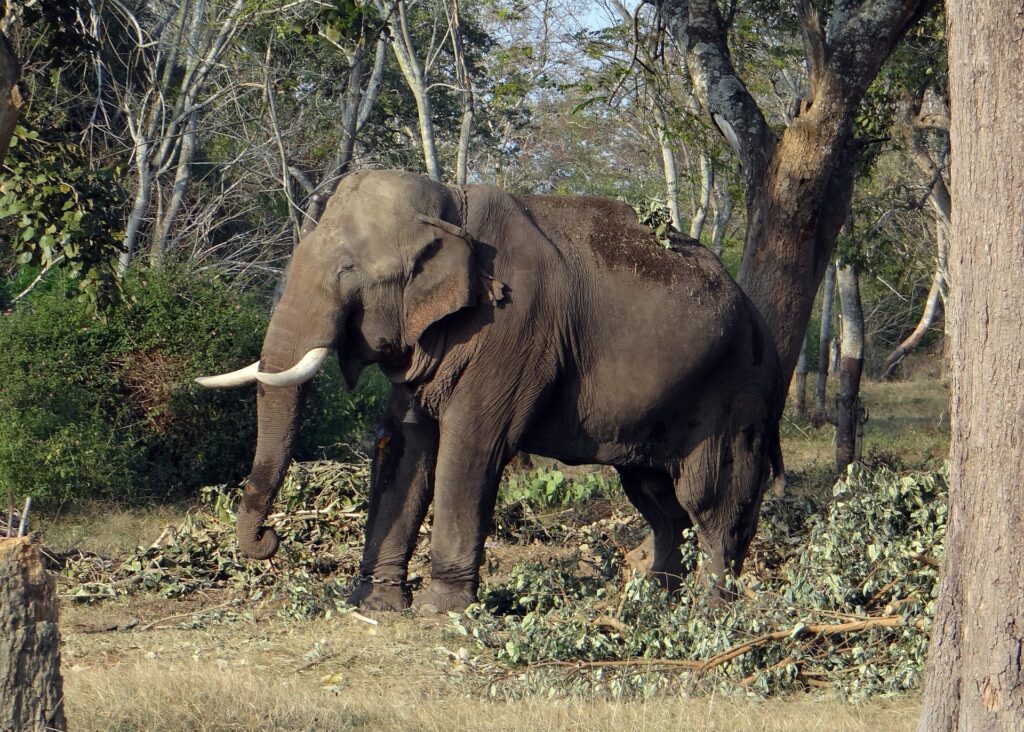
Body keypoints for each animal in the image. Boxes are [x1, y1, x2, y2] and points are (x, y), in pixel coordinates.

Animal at [197, 169, 782, 614]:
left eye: (349, 271)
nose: (268, 541)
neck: (452, 205)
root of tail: (759, 318)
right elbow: (406, 445)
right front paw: (374, 605)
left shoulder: (514, 329)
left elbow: (471, 446)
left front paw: (440, 611)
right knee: (658, 500)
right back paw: (654, 603)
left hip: (736, 392)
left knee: (711, 500)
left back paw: (710, 611)